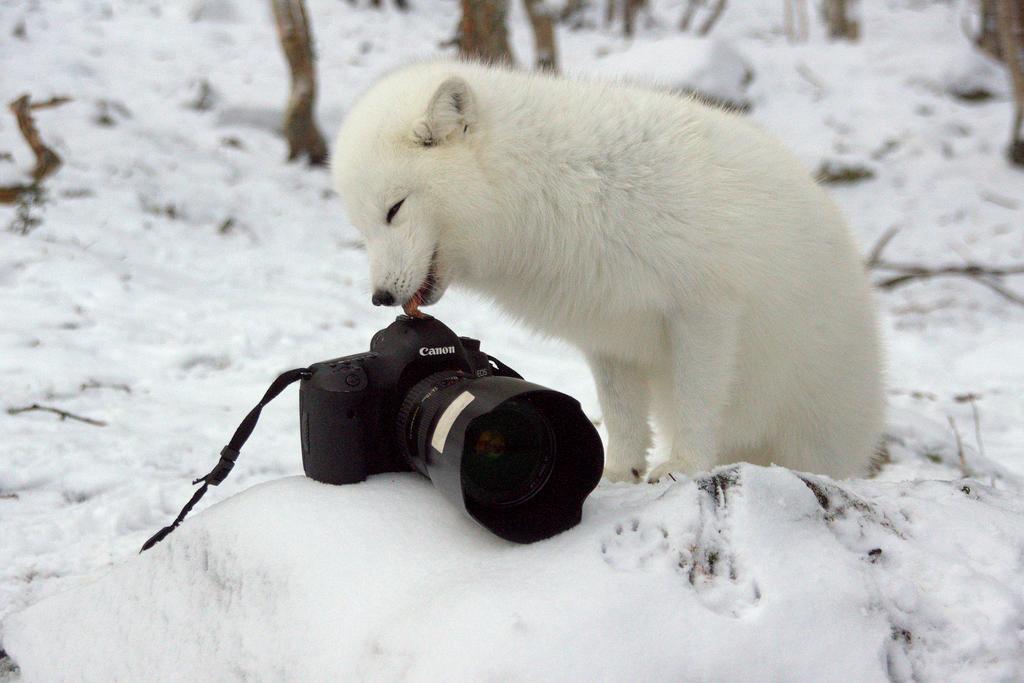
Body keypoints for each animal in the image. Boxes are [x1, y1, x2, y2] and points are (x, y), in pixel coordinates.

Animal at [331, 61, 884, 483]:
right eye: (362, 228)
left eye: (395, 210)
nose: (381, 298)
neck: (556, 187)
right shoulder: (608, 332)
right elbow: (622, 418)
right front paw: (618, 473)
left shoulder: (705, 310)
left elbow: (697, 403)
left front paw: (684, 466)